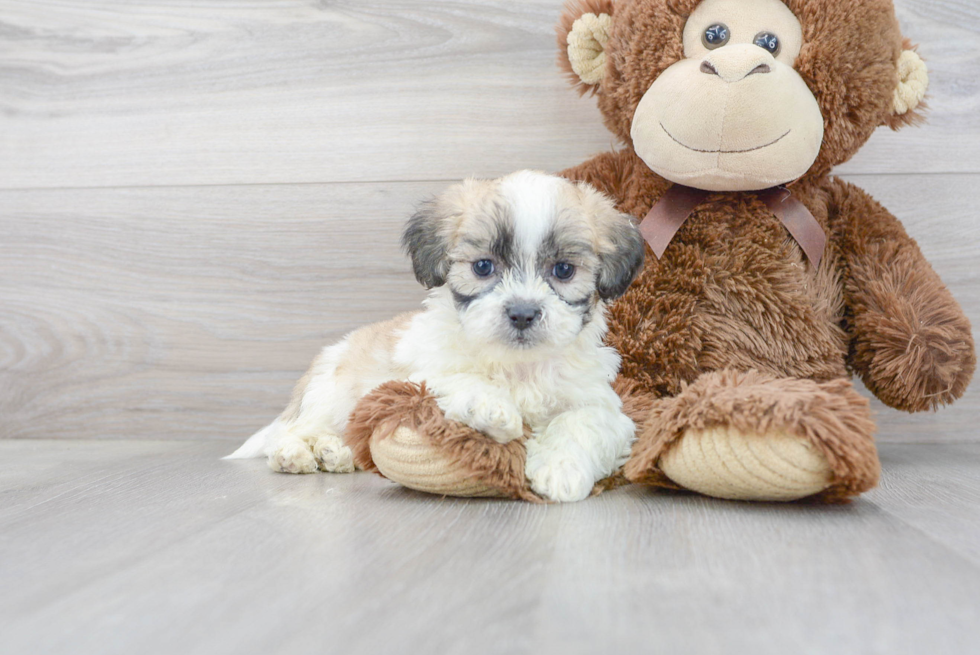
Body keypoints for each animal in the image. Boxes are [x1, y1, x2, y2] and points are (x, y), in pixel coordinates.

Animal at [227, 170, 648, 502]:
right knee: (294, 430)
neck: (516, 366)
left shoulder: (601, 405)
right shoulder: (420, 373)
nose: (522, 312)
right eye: (483, 267)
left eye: (563, 270)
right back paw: (299, 453)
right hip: (331, 396)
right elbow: (456, 378)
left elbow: (581, 423)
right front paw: (494, 409)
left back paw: (335, 454)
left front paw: (560, 470)